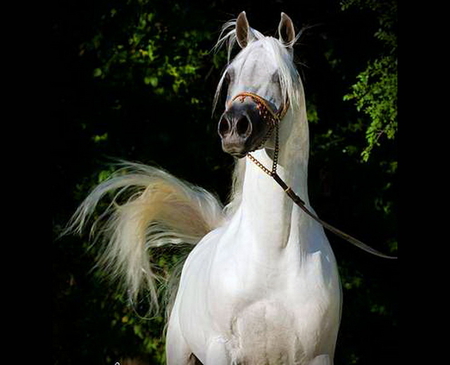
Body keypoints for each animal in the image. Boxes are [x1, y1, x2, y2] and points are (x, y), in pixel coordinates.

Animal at [68, 12, 340, 364]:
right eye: (232, 74)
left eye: (278, 77)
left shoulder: (317, 356)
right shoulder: (219, 350)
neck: (273, 253)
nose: (235, 127)